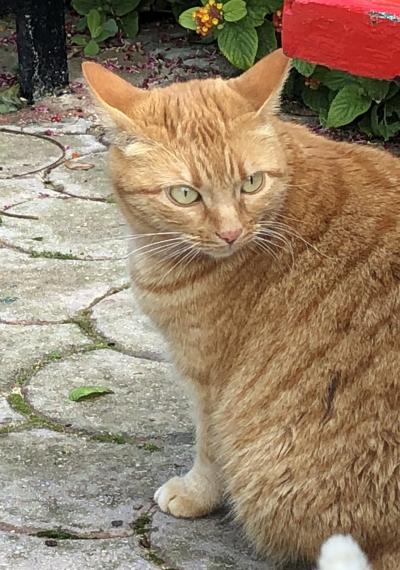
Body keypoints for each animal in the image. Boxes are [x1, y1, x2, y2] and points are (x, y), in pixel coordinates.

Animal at [82, 50, 400, 568]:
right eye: (184, 194)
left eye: (251, 183)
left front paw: (193, 495)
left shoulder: (211, 381)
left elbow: (210, 449)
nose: (231, 233)